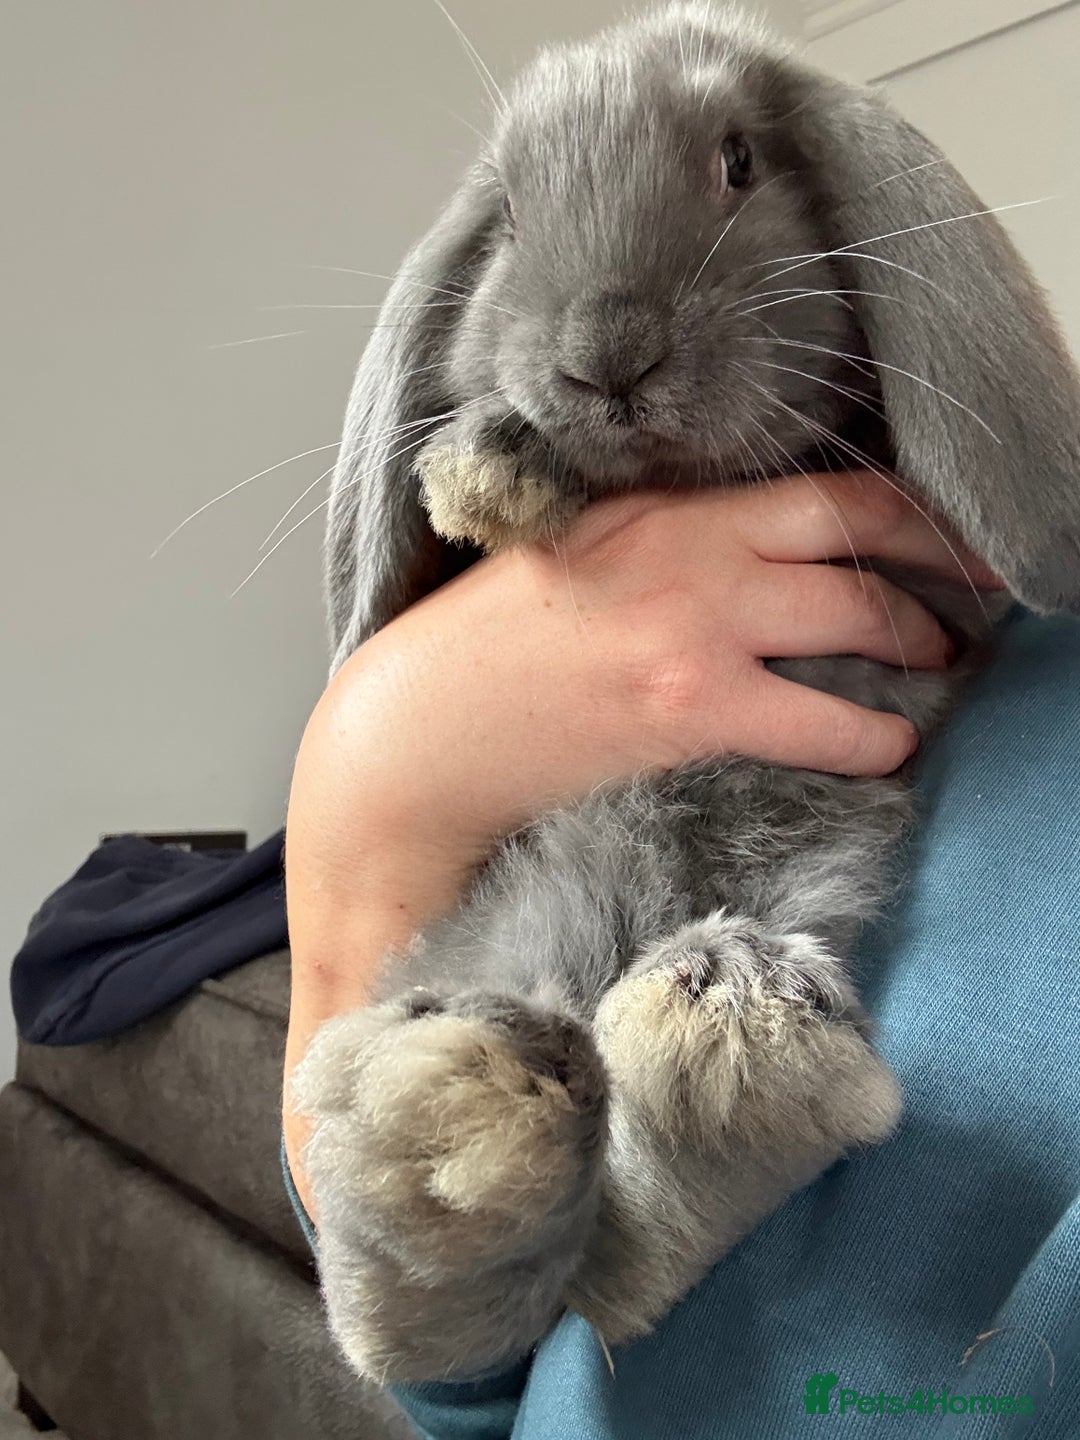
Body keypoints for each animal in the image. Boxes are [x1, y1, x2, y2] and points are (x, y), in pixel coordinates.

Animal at [293, 1, 1080, 1386]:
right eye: (507, 215)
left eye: (739, 163)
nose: (607, 355)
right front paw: (494, 467)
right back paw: (458, 1121)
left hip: (805, 878)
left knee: (637, 1257)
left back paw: (703, 1032)